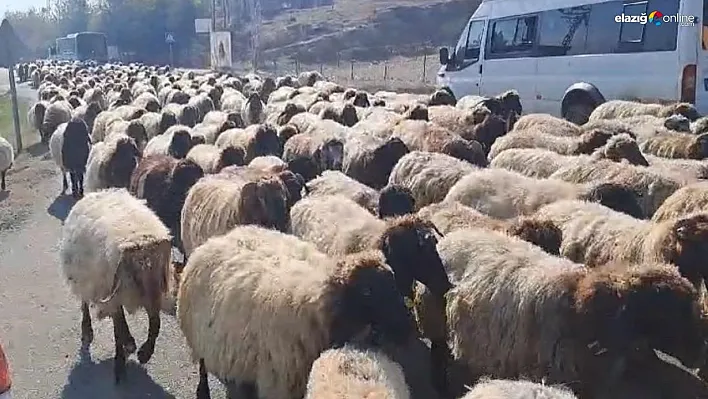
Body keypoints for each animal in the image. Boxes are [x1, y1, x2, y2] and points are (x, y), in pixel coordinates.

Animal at [60, 190, 172, 384]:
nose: (153, 300)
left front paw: (145, 353)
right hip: (85, 278)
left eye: (159, 269)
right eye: (135, 272)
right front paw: (120, 364)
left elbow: (155, 324)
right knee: (85, 302)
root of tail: (99, 192)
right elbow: (118, 329)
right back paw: (88, 329)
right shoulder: (113, 294)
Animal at [178, 225, 420, 399]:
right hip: (196, 334)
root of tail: (220, 237)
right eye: (367, 292)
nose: (409, 327)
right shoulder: (280, 382)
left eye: (393, 282)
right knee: (202, 366)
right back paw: (202, 392)